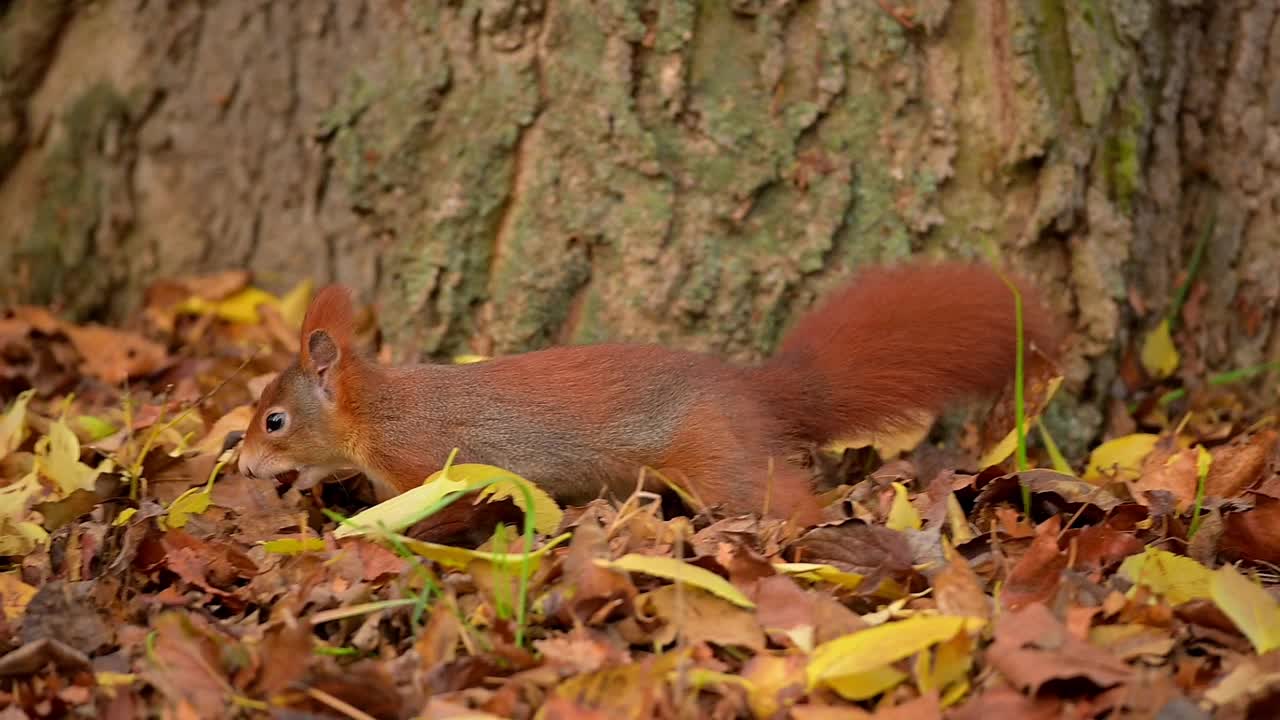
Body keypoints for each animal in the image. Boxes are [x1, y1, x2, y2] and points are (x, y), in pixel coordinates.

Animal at [240, 257, 1059, 520]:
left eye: (274, 421)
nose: (242, 465)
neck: (374, 410)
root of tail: (752, 390)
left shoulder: (421, 462)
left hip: (715, 459)